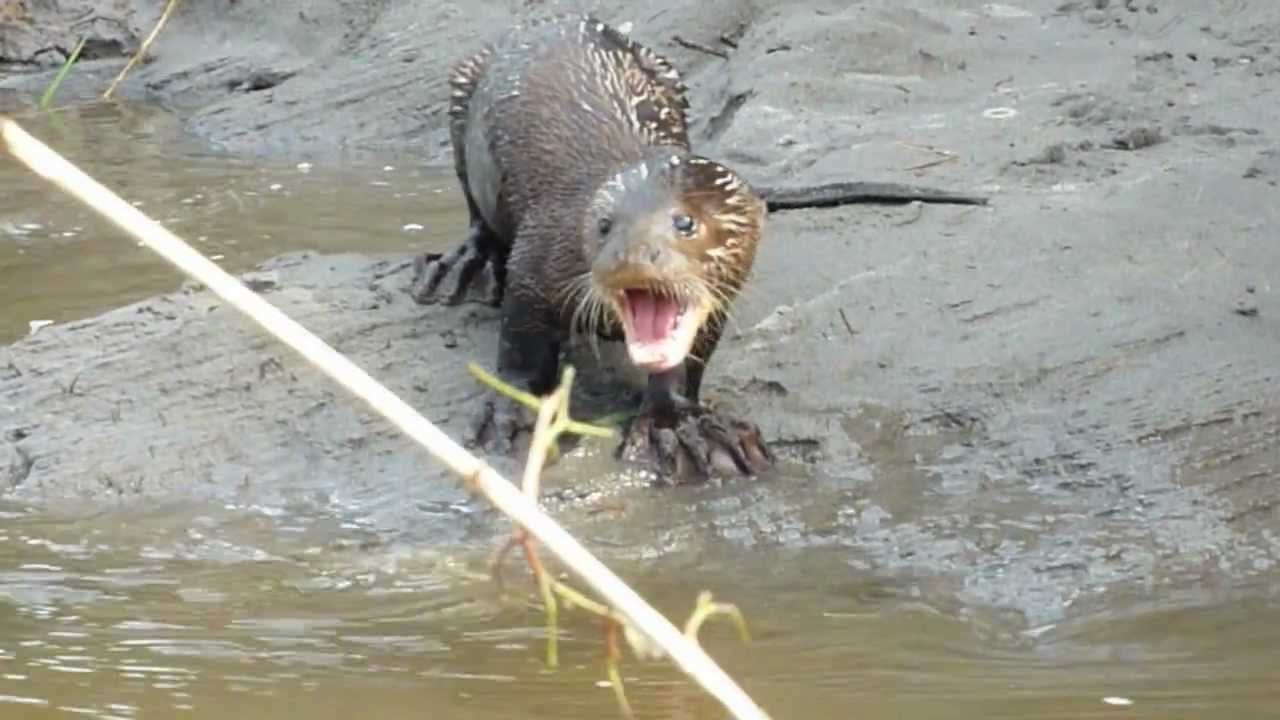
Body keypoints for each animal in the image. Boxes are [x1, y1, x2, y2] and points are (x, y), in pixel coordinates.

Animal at [411, 14, 771, 482]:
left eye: (685, 222)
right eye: (604, 226)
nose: (630, 257)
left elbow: (686, 364)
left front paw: (679, 426)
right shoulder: (537, 256)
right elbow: (519, 343)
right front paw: (509, 409)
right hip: (462, 91)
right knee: (474, 207)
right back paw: (465, 265)